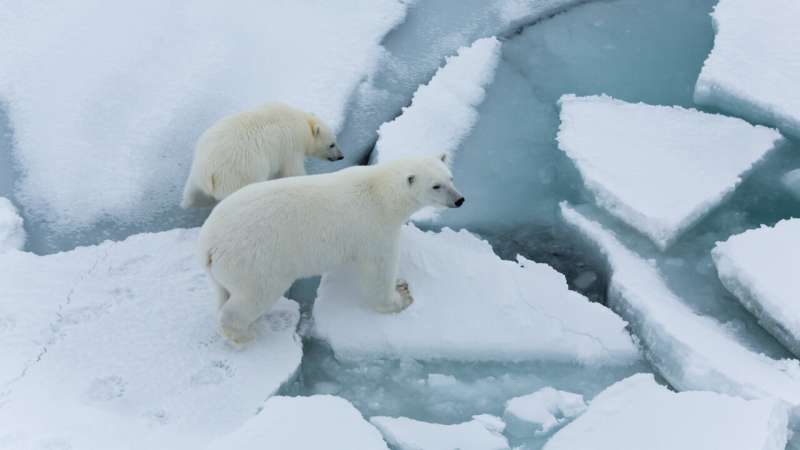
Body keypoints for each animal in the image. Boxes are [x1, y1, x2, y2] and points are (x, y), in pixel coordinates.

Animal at [181, 102, 344, 207]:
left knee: (191, 193)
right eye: (332, 144)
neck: (303, 123)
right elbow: (293, 171)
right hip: (239, 175)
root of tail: (208, 173)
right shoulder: (290, 147)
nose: (341, 156)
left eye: (335, 141)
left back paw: (187, 204)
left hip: (196, 172)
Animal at [197, 155, 466, 344]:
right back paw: (242, 335)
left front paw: (400, 285)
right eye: (436, 186)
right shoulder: (375, 229)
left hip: (225, 269)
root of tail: (208, 244)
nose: (459, 200)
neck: (381, 192)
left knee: (223, 292)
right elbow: (379, 271)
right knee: (254, 295)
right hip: (255, 260)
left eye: (451, 178)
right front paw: (401, 297)